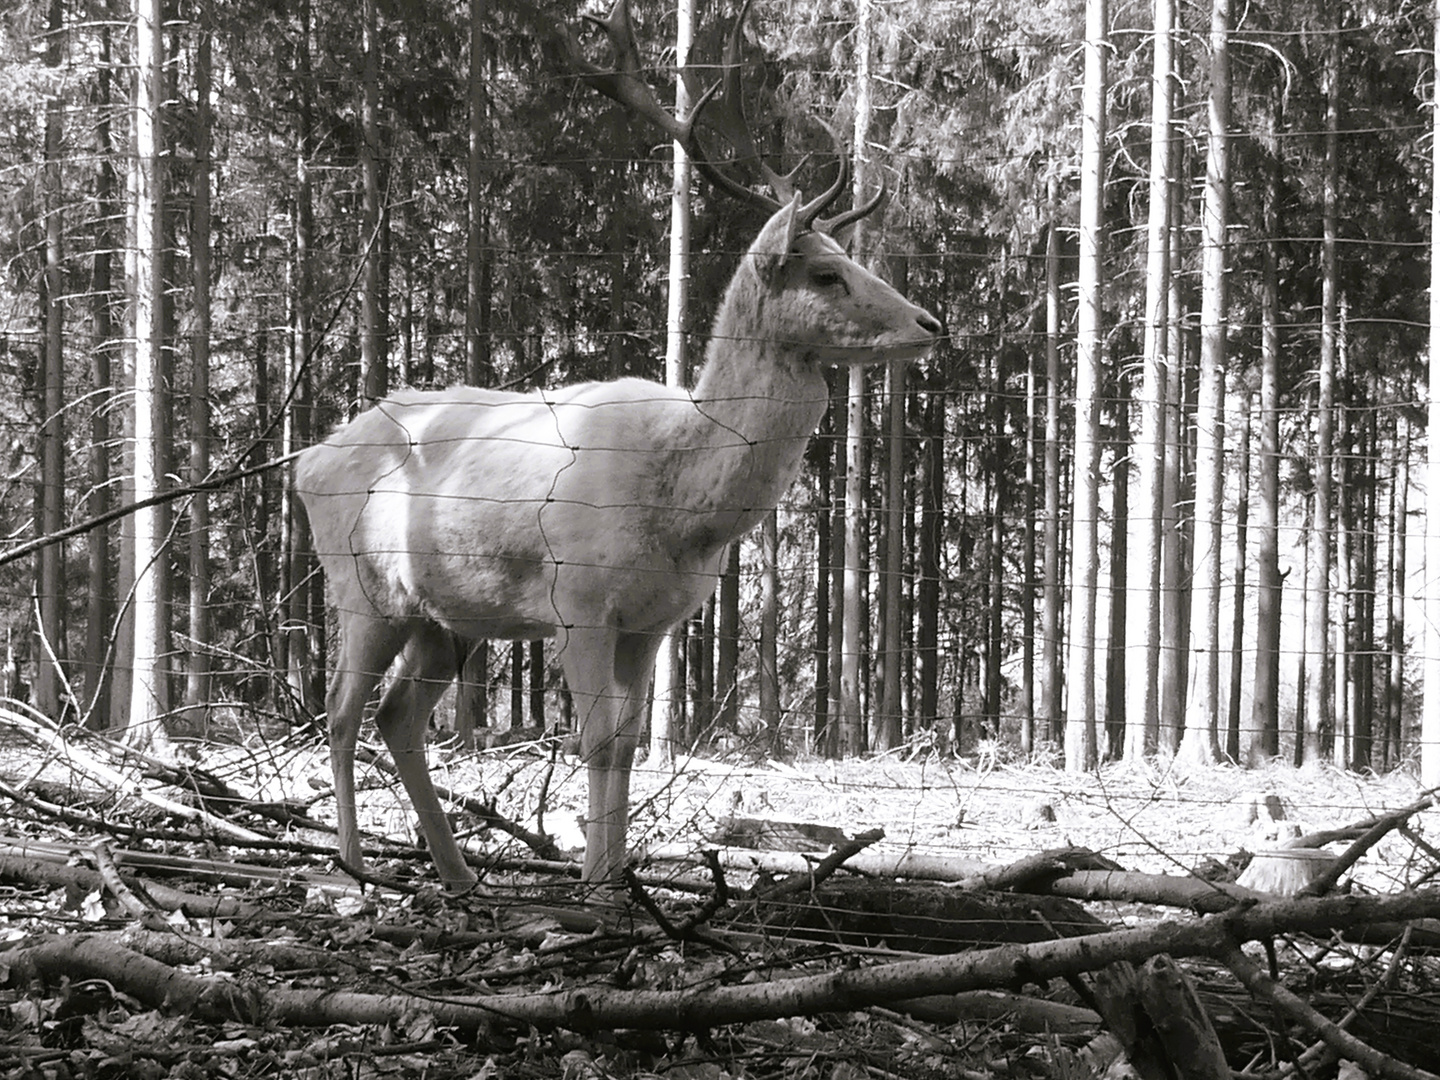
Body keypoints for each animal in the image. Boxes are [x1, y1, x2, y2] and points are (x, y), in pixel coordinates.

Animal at [292, 0, 944, 892]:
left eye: (852, 258)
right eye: (825, 275)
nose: (931, 323)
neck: (683, 513)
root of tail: (305, 460)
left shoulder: (654, 622)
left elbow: (630, 744)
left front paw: (616, 877)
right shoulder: (578, 601)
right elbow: (595, 739)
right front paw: (598, 883)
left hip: (446, 618)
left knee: (397, 716)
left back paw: (457, 873)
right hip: (362, 589)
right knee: (338, 712)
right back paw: (354, 867)